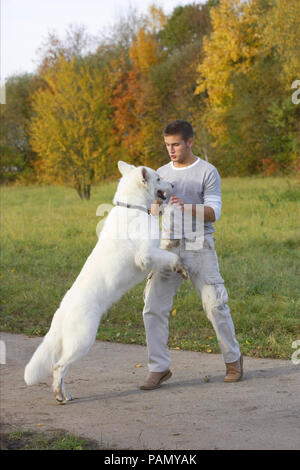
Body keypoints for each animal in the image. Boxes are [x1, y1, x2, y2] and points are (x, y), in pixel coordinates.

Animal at [24, 162, 186, 404]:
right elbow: (171, 256)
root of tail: (61, 313)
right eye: (159, 178)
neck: (132, 206)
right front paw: (180, 266)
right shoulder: (146, 256)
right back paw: (60, 396)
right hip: (83, 340)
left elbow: (168, 250)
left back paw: (66, 394)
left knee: (61, 370)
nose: (174, 185)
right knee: (58, 367)